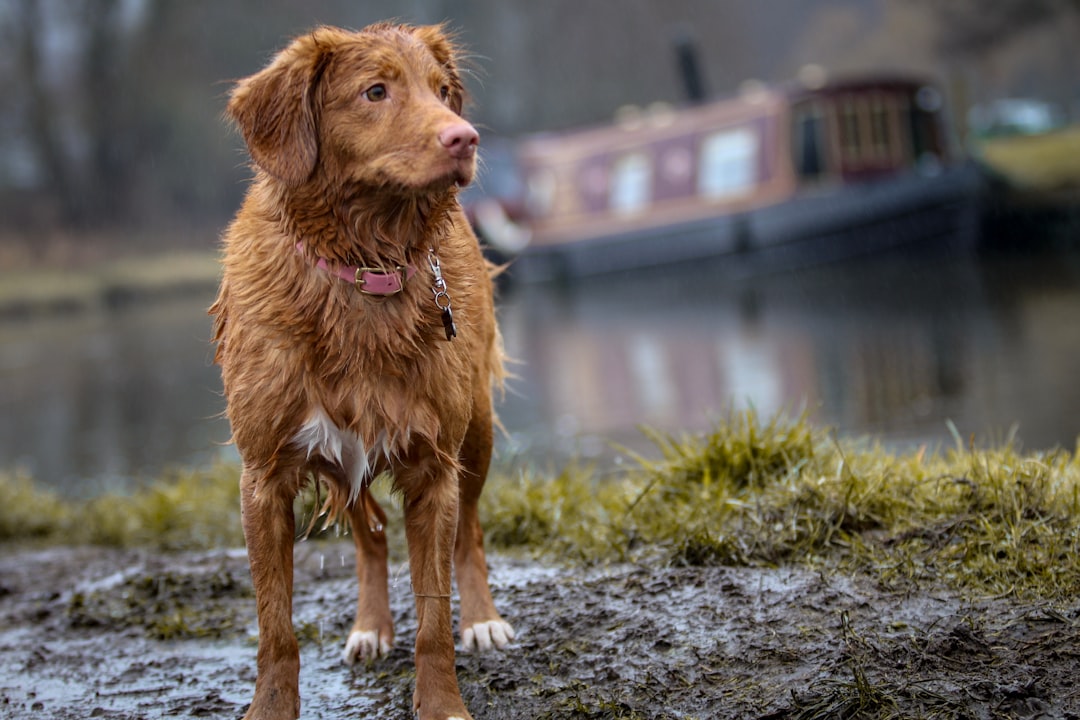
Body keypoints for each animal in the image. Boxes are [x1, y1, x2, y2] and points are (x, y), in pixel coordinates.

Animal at [213, 22, 514, 720]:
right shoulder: (265, 478)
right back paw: (370, 627)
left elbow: (434, 619)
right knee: (371, 538)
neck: (363, 268)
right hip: (340, 463)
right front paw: (271, 708)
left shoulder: (435, 468)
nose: (465, 138)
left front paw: (442, 705)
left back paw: (481, 619)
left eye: (442, 91)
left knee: (470, 536)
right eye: (376, 91)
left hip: (475, 434)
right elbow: (275, 627)